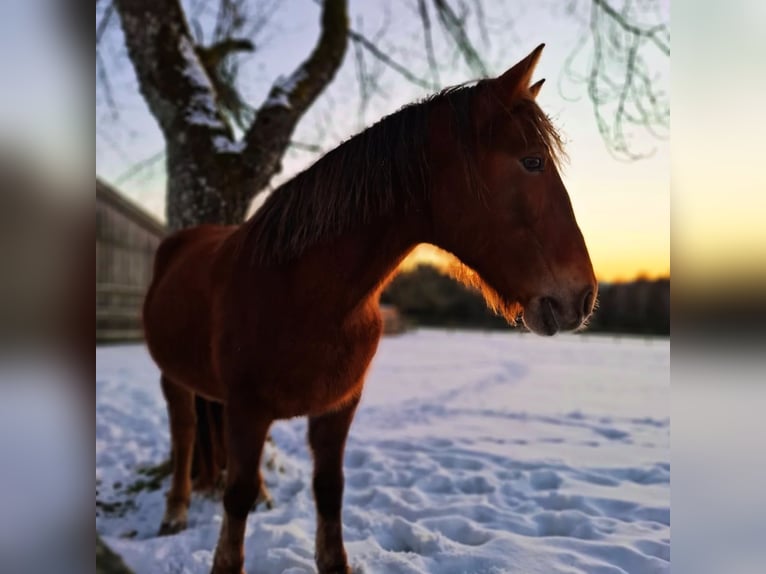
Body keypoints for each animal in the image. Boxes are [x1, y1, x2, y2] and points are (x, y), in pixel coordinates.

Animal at [144, 46, 600, 574]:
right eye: (531, 162)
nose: (582, 297)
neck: (304, 294)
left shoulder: (338, 408)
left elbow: (328, 491)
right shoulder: (247, 410)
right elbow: (235, 499)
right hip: (172, 378)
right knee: (184, 433)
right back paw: (174, 513)